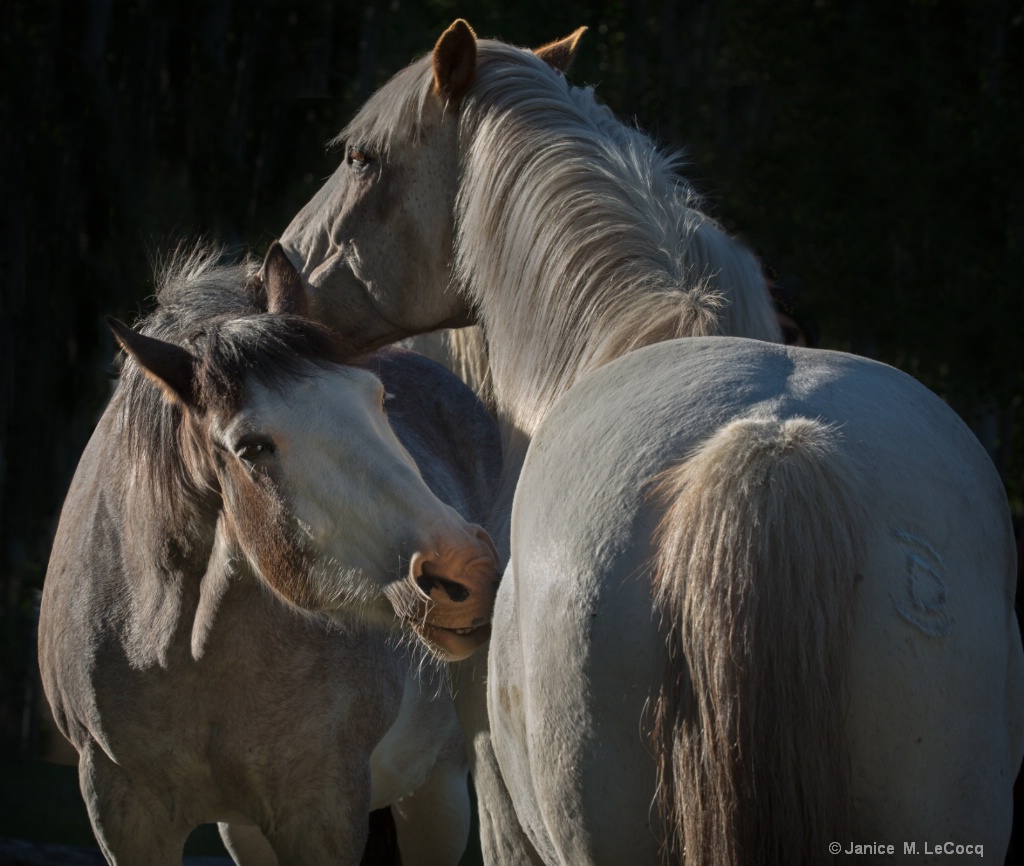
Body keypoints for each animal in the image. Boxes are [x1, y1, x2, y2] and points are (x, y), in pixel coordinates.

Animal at [37, 245, 501, 866]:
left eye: (378, 399)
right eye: (252, 447)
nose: (466, 572)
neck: (179, 649)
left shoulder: (321, 813)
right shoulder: (121, 813)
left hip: (438, 791)